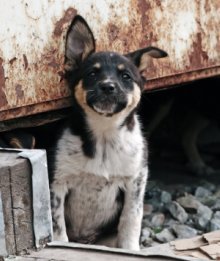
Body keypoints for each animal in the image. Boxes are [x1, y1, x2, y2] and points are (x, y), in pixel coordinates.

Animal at [49, 14, 167, 250]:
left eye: (126, 76)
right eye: (92, 73)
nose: (108, 87)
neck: (104, 134)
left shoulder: (136, 180)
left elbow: (131, 221)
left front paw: (131, 250)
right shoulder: (57, 183)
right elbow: (58, 227)